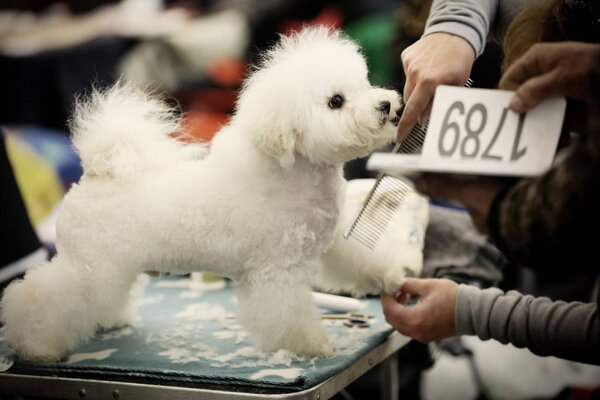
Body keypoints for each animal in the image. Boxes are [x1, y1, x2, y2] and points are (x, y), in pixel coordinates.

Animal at [1, 26, 404, 360]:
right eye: (336, 101)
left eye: (364, 83)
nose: (386, 105)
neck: (297, 172)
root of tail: (98, 172)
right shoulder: (277, 271)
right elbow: (290, 315)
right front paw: (310, 347)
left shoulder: (332, 239)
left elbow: (360, 258)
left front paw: (392, 278)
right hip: (90, 267)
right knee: (40, 296)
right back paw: (36, 346)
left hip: (112, 268)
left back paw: (108, 321)